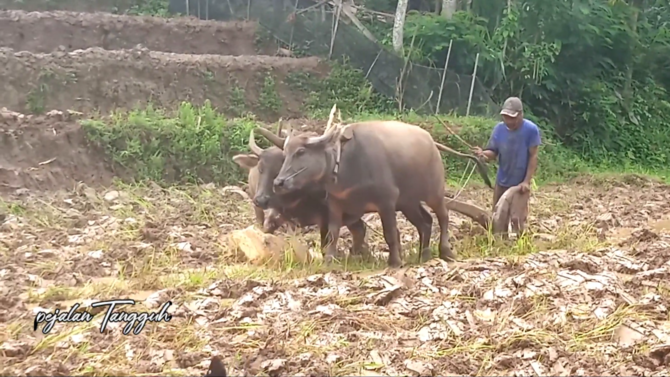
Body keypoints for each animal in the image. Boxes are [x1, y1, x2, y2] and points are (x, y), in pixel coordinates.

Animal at [268, 106, 494, 266]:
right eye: (286, 153)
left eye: (301, 152)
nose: (278, 182)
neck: (345, 162)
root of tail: (431, 142)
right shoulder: (335, 204)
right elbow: (333, 234)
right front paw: (329, 260)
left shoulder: (386, 202)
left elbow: (391, 233)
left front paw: (395, 261)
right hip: (408, 202)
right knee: (425, 222)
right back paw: (424, 254)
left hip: (434, 192)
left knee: (443, 216)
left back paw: (446, 251)